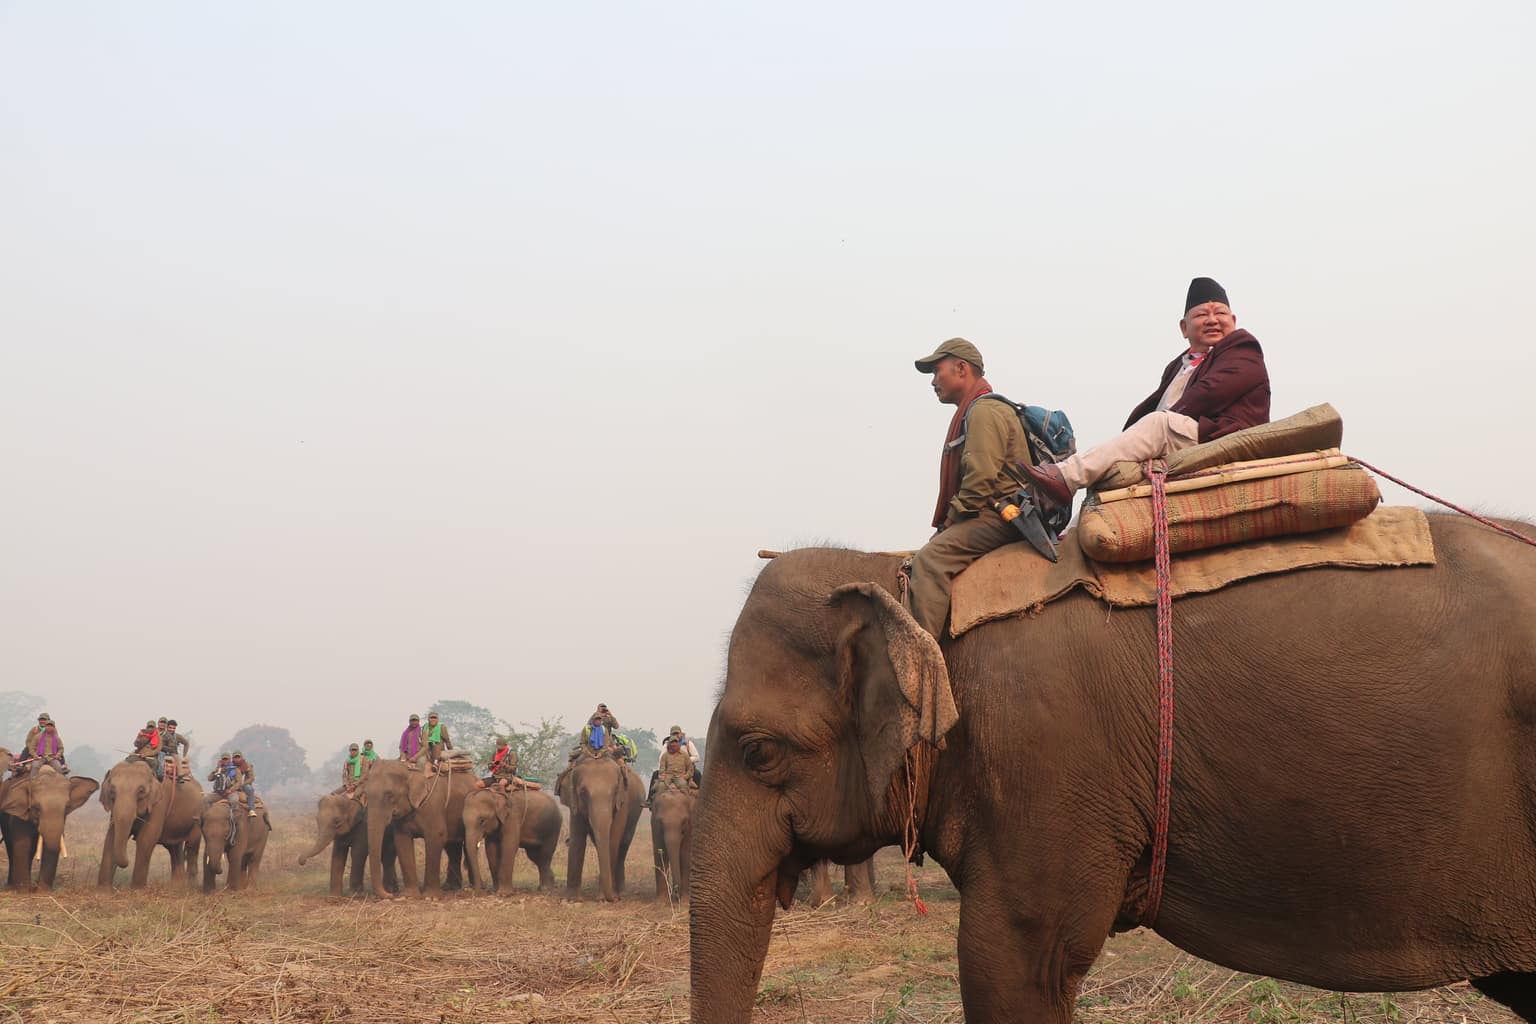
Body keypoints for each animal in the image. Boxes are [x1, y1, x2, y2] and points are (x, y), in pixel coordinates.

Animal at [0, 761, 97, 890]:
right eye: (36, 807)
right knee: (11, 846)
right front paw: (24, 889)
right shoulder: (19, 812)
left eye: (67, 807)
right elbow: (23, 843)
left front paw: (43, 891)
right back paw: (12, 886)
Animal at [97, 758, 204, 890]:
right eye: (112, 791)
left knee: (192, 846)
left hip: (197, 817)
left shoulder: (160, 803)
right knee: (174, 847)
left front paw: (137, 889)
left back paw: (190, 886)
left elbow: (146, 838)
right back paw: (176, 886)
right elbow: (111, 836)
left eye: (141, 791)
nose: (127, 862)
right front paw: (104, 890)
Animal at [556, 758, 645, 902]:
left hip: (636, 813)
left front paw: (604, 898)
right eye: (583, 792)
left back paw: (620, 892)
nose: (612, 899)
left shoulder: (622, 803)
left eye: (615, 791)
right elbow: (577, 839)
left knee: (624, 844)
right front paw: (571, 900)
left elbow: (613, 838)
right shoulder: (574, 804)